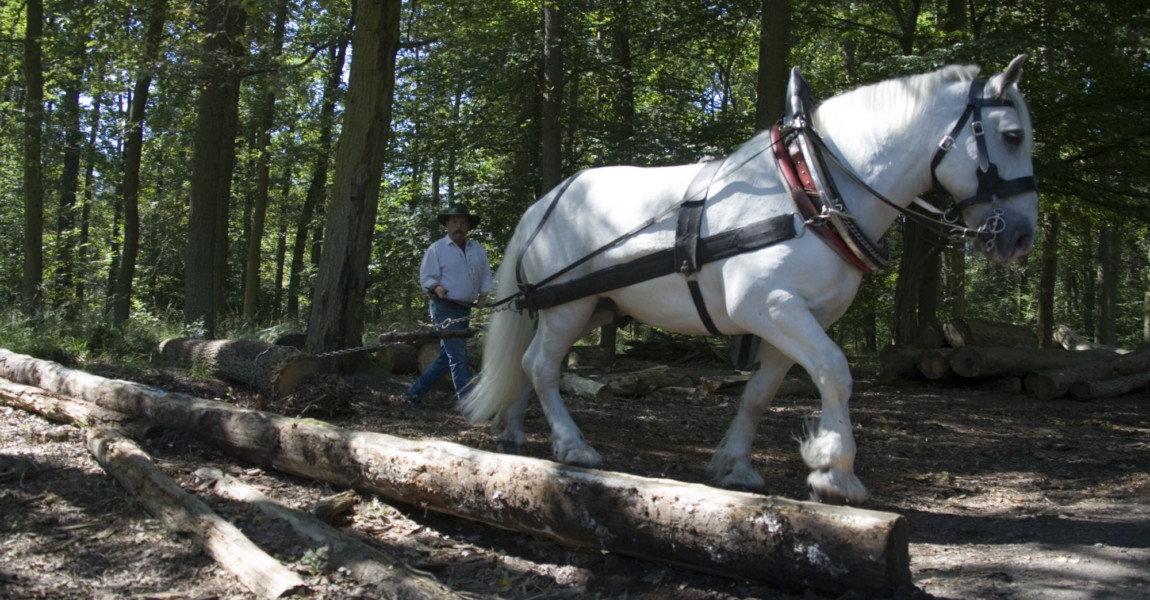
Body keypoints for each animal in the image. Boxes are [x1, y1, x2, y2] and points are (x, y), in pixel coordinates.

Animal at [462, 57, 1039, 503]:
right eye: (1012, 136)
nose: (1021, 237)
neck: (813, 190)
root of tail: (544, 203)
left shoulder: (794, 317)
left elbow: (760, 395)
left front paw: (736, 465)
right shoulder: (767, 304)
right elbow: (837, 372)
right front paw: (836, 471)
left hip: (589, 305)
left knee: (529, 362)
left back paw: (511, 429)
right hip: (568, 307)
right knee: (541, 366)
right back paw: (572, 444)